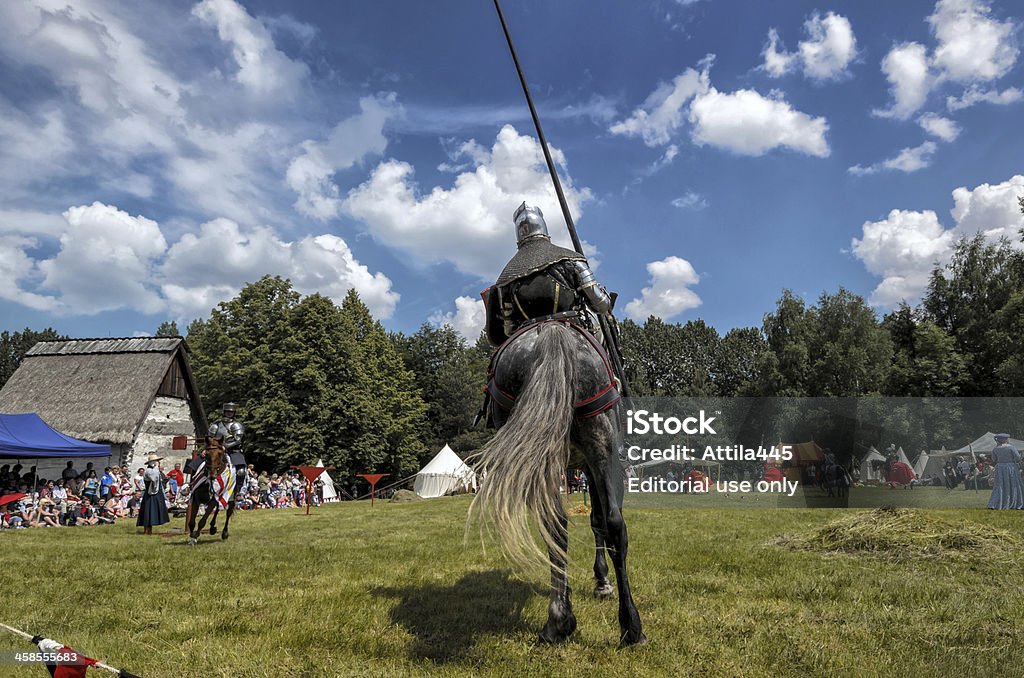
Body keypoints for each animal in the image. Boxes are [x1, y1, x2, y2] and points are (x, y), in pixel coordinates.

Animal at [468, 321, 643, 647]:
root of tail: (550, 332)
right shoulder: (592, 466)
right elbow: (598, 520)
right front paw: (602, 581)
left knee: (558, 524)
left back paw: (566, 620)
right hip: (594, 446)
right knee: (607, 523)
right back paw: (618, 625)